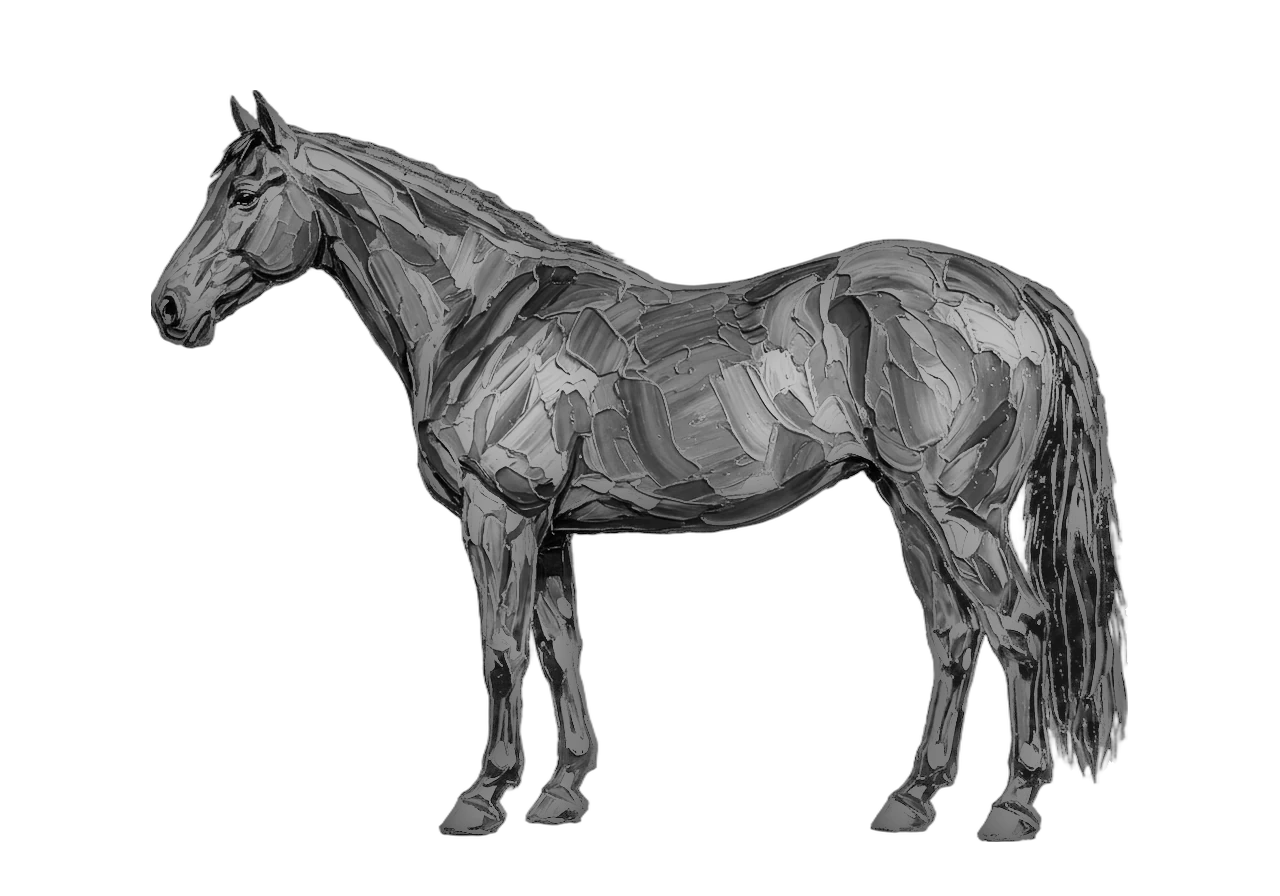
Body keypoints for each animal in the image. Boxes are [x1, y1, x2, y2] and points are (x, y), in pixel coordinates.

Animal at [151, 93, 1127, 839]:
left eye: (247, 191)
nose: (168, 306)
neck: (486, 315)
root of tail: (1018, 295)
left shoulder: (499, 516)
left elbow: (501, 648)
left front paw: (482, 799)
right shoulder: (547, 530)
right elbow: (556, 649)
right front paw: (558, 795)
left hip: (963, 512)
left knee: (1023, 628)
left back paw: (1012, 812)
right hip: (911, 507)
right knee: (959, 637)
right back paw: (911, 804)